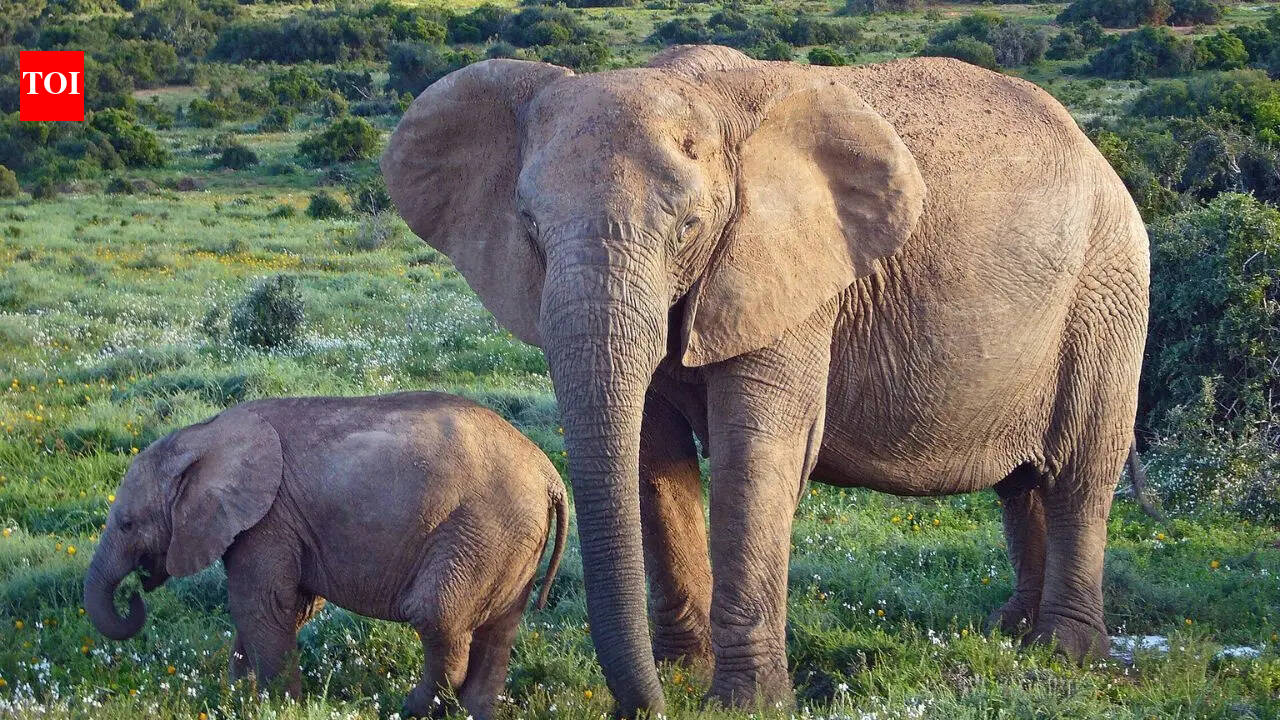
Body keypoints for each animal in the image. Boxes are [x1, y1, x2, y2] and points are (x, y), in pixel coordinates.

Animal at [84, 392, 568, 719]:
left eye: (126, 524)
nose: (135, 593)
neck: (202, 435)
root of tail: (548, 473)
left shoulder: (267, 520)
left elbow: (261, 605)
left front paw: (275, 706)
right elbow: (286, 608)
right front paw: (239, 698)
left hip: (482, 529)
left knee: (437, 616)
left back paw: (406, 708)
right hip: (512, 539)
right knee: (499, 630)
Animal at [382, 45, 1148, 716]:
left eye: (689, 226)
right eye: (530, 228)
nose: (646, 708)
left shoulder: (791, 274)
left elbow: (757, 453)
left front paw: (743, 703)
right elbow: (653, 458)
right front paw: (684, 676)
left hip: (1108, 292)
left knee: (1081, 471)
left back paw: (1066, 652)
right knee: (1021, 484)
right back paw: (1011, 633)